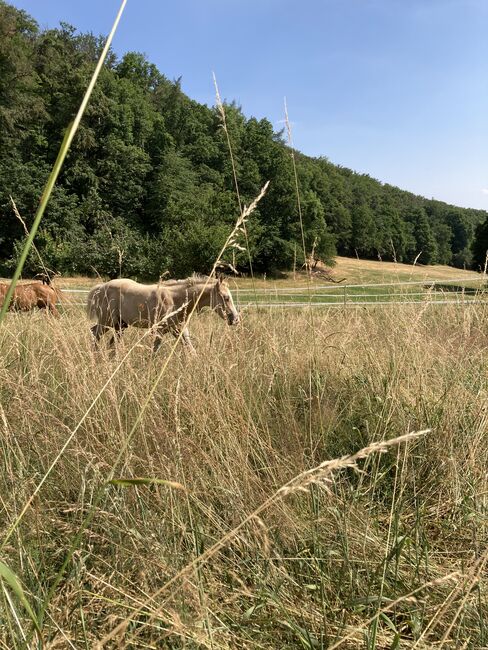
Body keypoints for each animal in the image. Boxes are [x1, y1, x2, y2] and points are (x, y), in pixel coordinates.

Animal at [88, 274, 241, 354]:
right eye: (226, 297)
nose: (235, 319)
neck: (175, 300)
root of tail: (101, 288)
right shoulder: (159, 330)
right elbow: (154, 351)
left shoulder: (179, 329)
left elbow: (190, 349)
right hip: (106, 321)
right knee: (95, 333)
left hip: (120, 325)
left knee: (111, 341)